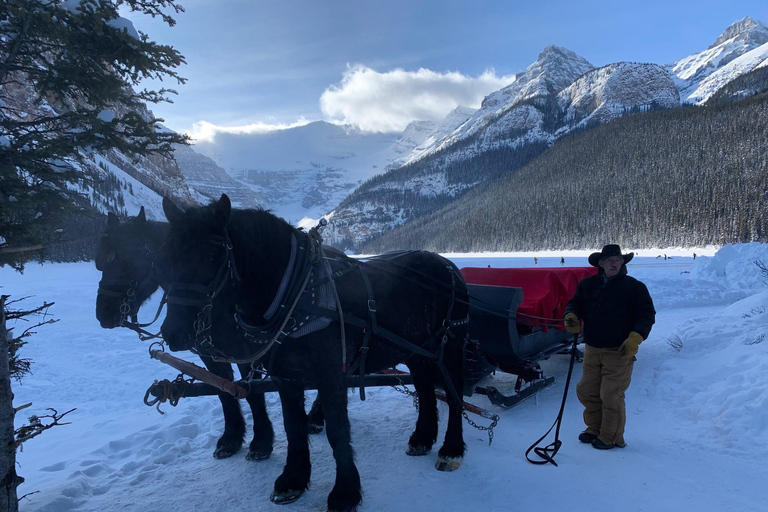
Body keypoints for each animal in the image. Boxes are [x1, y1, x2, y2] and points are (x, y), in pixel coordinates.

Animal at [94, 207, 276, 460]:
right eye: (101, 262)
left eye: (130, 259)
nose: (104, 313)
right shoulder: (209, 355)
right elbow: (223, 391)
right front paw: (230, 439)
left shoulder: (246, 353)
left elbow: (253, 392)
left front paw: (261, 442)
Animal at [160, 194, 468, 510]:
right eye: (166, 258)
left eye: (211, 257)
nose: (173, 333)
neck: (295, 295)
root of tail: (447, 264)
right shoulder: (285, 377)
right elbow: (293, 426)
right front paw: (293, 479)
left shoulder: (331, 376)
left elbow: (337, 430)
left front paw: (345, 492)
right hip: (417, 352)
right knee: (426, 390)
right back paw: (422, 438)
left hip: (451, 347)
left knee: (455, 393)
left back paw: (451, 448)